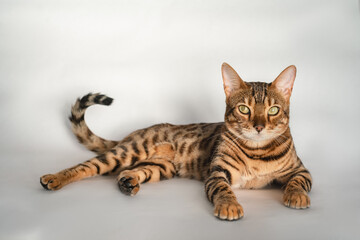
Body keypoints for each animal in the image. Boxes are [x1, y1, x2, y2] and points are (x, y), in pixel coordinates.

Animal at [40, 62, 312, 220]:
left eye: (273, 110)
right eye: (244, 109)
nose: (258, 127)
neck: (257, 151)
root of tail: (133, 133)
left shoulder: (301, 170)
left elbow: (298, 182)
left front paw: (296, 196)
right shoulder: (217, 174)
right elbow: (223, 190)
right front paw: (229, 206)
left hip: (160, 167)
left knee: (129, 171)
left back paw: (128, 182)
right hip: (130, 151)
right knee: (87, 166)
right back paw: (54, 178)